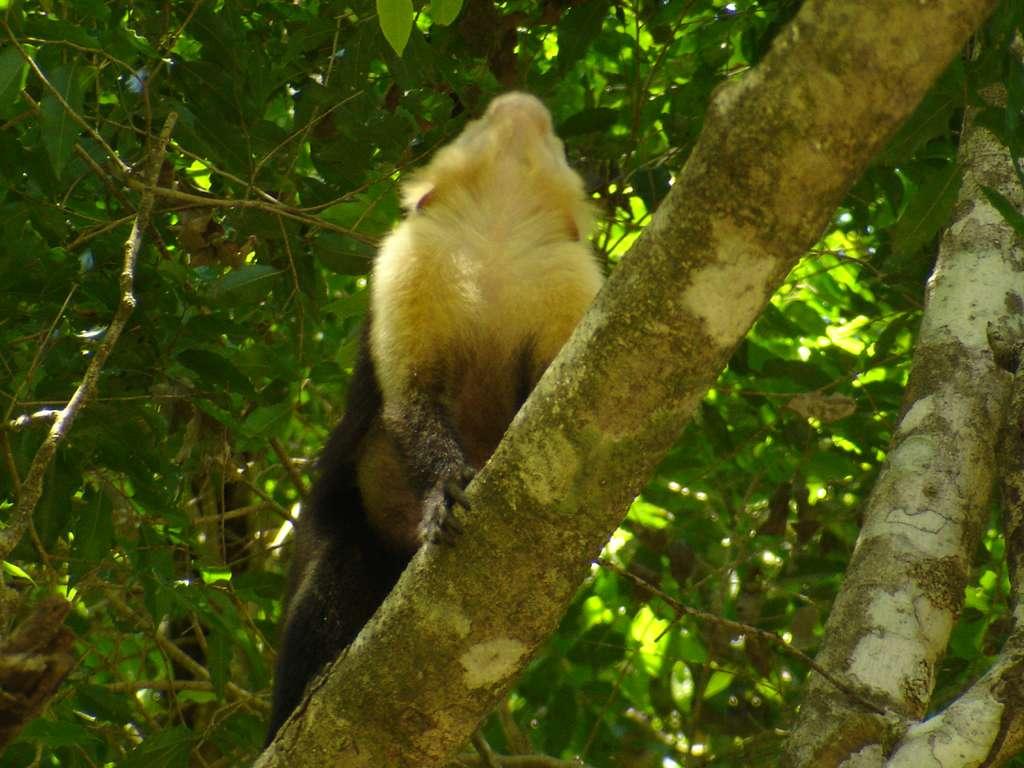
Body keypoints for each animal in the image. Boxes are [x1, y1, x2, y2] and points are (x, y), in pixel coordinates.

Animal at [266, 92, 604, 742]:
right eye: (476, 123)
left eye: (557, 143)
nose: (520, 104)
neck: (498, 230)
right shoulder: (411, 257)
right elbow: (412, 401)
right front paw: (445, 490)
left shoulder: (573, 278)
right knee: (334, 570)